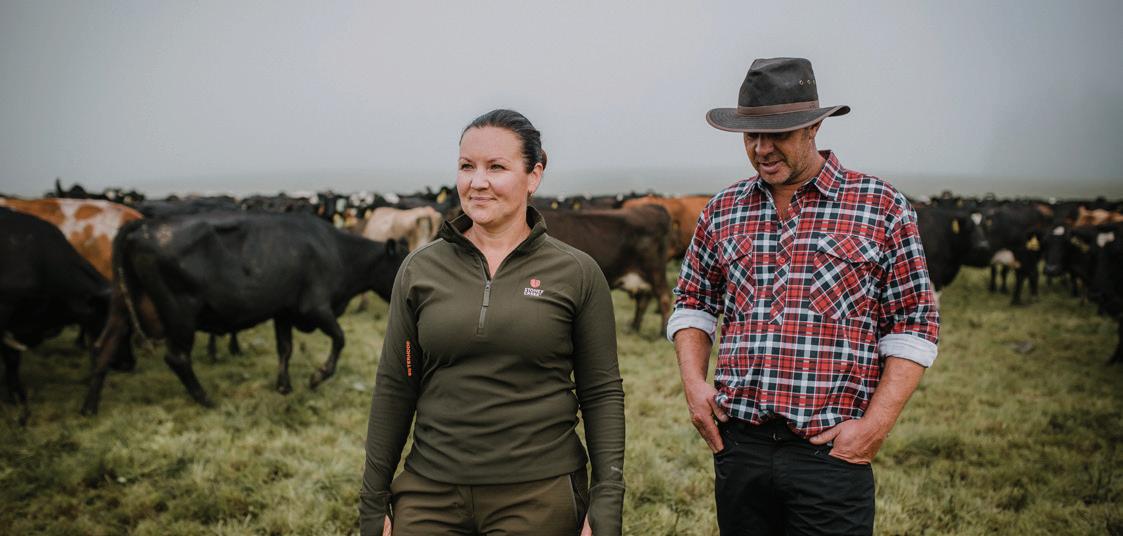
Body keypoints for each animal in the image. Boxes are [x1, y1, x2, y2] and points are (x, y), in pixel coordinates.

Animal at [82, 212, 406, 414]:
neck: (339, 252)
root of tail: (140, 226)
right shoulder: (314, 306)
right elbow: (339, 339)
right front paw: (318, 376)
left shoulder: (284, 310)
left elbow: (285, 348)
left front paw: (284, 386)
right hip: (180, 312)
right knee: (177, 358)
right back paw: (206, 399)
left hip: (121, 307)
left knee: (103, 347)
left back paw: (89, 408)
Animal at [538, 204, 672, 334]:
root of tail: (653, 208)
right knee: (643, 299)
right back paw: (633, 328)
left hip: (655, 271)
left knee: (664, 297)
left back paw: (662, 331)